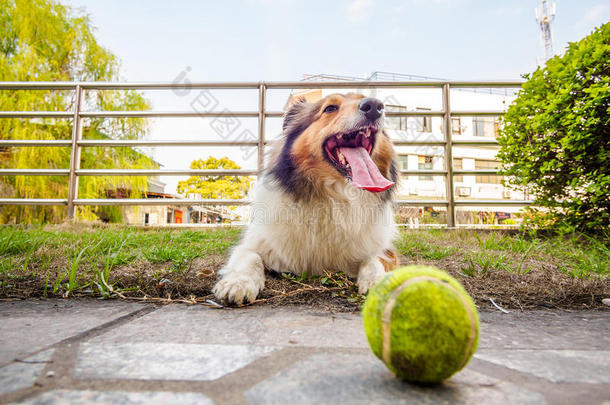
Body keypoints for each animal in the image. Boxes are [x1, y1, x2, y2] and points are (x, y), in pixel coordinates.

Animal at [214, 92, 400, 304]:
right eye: (330, 108)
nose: (375, 106)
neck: (334, 198)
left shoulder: (385, 250)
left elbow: (373, 259)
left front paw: (379, 283)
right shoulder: (253, 242)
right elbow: (250, 257)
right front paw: (237, 284)